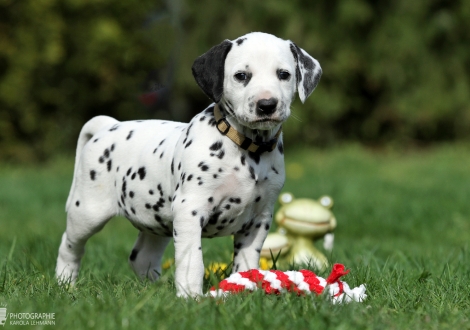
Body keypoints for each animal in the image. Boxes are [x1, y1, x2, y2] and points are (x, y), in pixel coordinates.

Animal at [54, 32, 320, 296]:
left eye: (284, 74)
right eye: (241, 76)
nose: (267, 105)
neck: (245, 147)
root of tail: (108, 125)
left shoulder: (259, 218)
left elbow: (247, 262)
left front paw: (244, 288)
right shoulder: (189, 210)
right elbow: (192, 261)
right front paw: (191, 297)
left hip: (157, 219)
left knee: (141, 256)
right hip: (88, 212)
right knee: (70, 245)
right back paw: (65, 282)